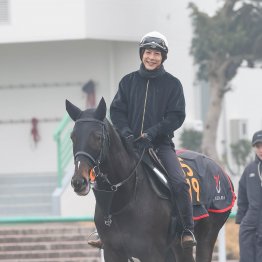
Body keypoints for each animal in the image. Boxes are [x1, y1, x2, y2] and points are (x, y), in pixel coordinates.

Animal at [65, 97, 235, 262]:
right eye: (72, 137)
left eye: (98, 137)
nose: (79, 181)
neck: (124, 198)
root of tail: (220, 170)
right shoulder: (113, 252)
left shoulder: (152, 252)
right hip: (178, 246)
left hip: (207, 234)